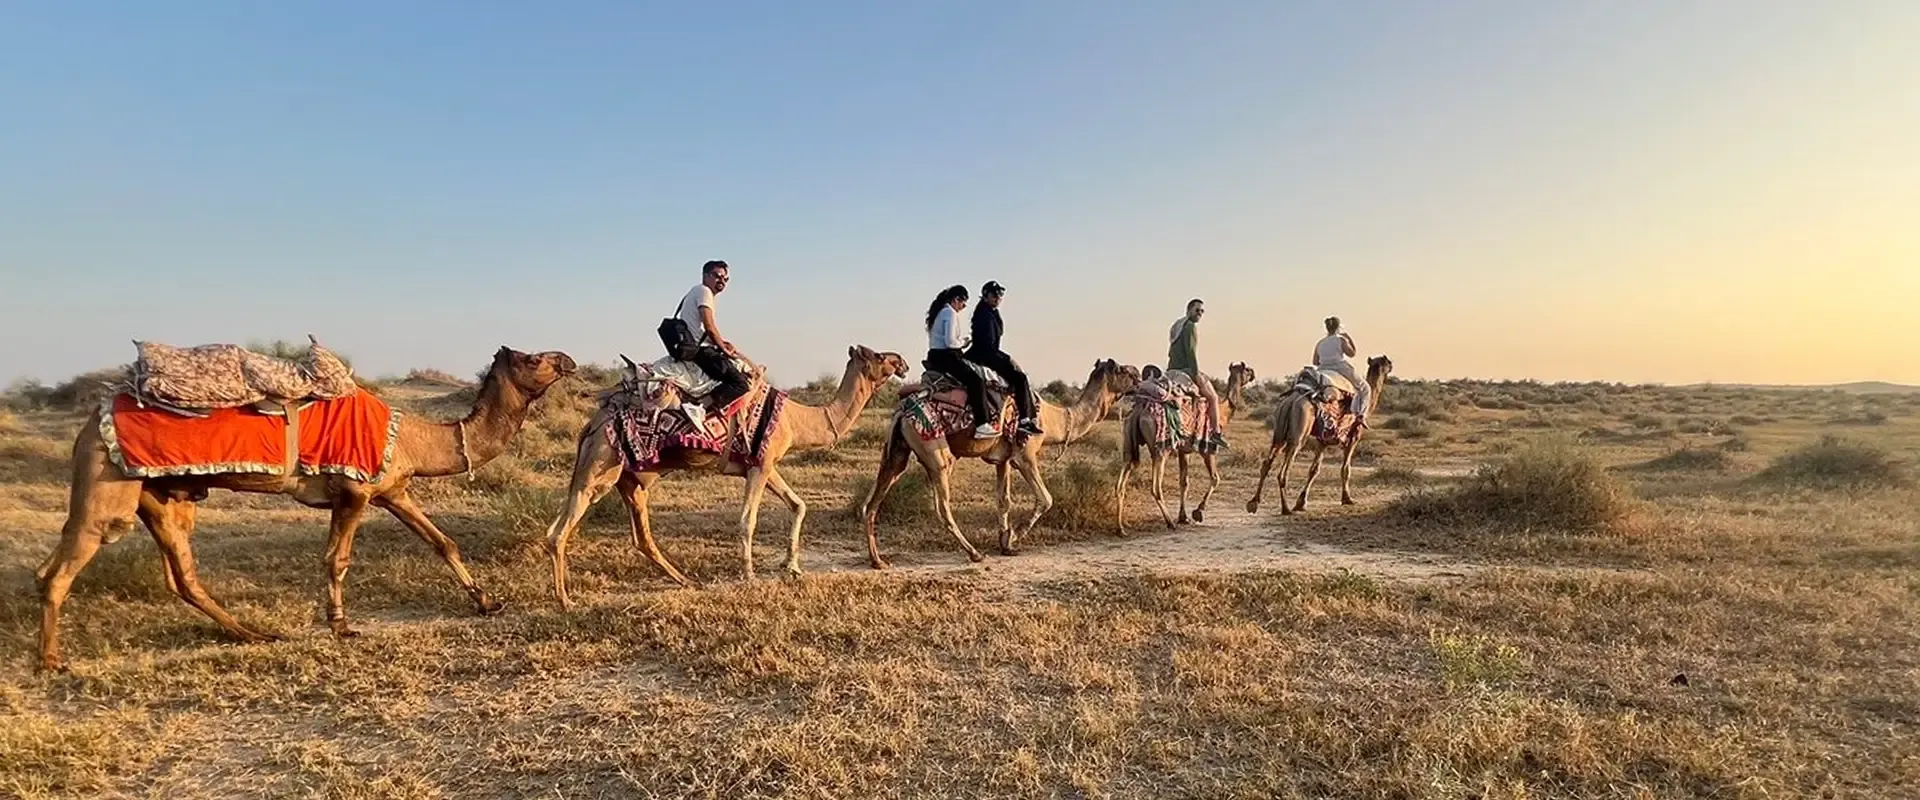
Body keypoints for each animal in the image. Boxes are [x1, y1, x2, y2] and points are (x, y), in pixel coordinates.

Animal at [35, 346, 577, 672]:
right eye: (533, 358)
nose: (567, 359)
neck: (416, 438)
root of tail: (89, 423)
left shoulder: (392, 488)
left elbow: (443, 542)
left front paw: (487, 602)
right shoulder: (355, 490)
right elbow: (337, 559)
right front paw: (341, 624)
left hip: (160, 494)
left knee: (179, 575)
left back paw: (255, 634)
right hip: (108, 482)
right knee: (65, 566)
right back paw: (51, 660)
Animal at [543, 345, 909, 609]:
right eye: (879, 356)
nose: (902, 361)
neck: (797, 419)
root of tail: (592, 423)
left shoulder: (763, 463)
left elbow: (798, 505)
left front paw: (792, 567)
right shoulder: (761, 466)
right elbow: (748, 520)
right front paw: (750, 576)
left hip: (629, 478)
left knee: (638, 536)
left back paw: (687, 581)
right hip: (601, 467)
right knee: (559, 533)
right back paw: (565, 600)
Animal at [859, 359, 1142, 569]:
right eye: (1123, 370)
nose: (1140, 375)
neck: (1053, 421)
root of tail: (902, 410)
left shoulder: (1002, 459)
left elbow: (1003, 500)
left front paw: (1005, 542)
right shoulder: (1024, 454)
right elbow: (1046, 498)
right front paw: (1015, 536)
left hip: (896, 452)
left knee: (871, 503)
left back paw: (878, 561)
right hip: (933, 448)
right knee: (942, 506)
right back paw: (974, 553)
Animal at [1116, 362, 1256, 532]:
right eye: (1247, 369)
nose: (1253, 374)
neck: (1223, 413)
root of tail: (1140, 410)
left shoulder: (1185, 450)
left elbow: (1184, 482)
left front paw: (1184, 517)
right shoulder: (1207, 448)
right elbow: (1215, 478)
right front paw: (1198, 511)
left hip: (1129, 441)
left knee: (1121, 482)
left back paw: (1121, 527)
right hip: (1161, 449)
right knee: (1155, 488)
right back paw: (1170, 522)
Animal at [1245, 355, 1393, 515]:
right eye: (1387, 362)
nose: (1391, 365)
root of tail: (1292, 400)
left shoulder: (1323, 441)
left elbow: (1314, 470)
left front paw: (1301, 503)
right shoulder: (1353, 438)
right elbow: (1345, 469)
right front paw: (1347, 499)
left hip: (1279, 432)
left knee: (1267, 464)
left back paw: (1253, 503)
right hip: (1299, 434)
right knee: (1283, 471)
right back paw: (1286, 509)